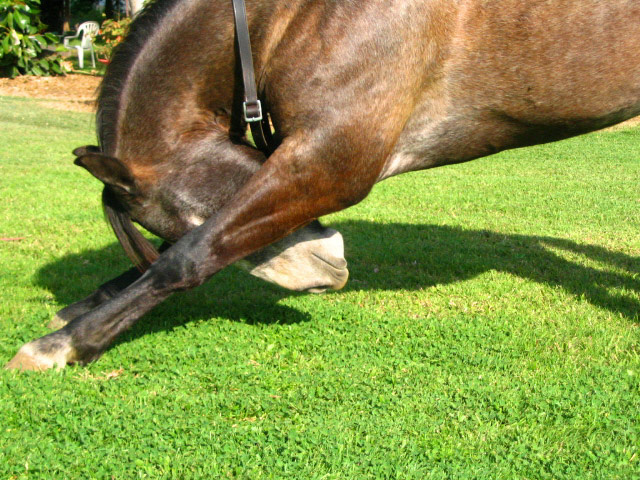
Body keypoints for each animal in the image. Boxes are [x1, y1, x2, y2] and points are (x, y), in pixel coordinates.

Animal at [7, 0, 640, 370]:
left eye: (182, 213)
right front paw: (80, 310)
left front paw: (62, 345)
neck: (303, 13)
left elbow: (189, 257)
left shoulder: (329, 166)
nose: (331, 265)